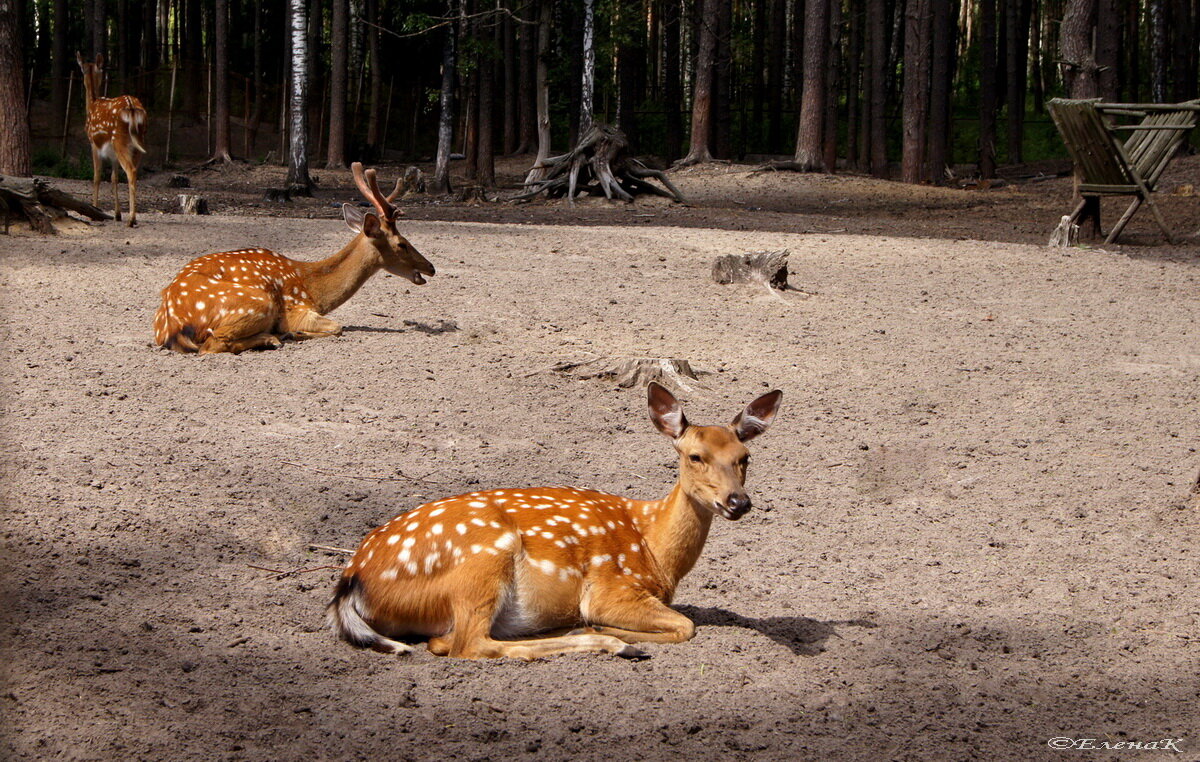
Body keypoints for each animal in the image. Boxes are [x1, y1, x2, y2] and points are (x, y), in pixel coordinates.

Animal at [76, 53, 146, 226]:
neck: (92, 104)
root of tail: (131, 108)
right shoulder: (112, 154)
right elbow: (114, 178)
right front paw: (117, 214)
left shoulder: (93, 143)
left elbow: (96, 176)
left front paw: (93, 210)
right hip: (138, 141)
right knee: (134, 171)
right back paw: (131, 217)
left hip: (119, 140)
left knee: (131, 171)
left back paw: (132, 219)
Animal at [152, 164, 436, 355]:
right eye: (402, 243)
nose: (431, 267)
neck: (313, 288)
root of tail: (173, 326)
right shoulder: (296, 308)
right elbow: (338, 326)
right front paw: (294, 332)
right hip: (256, 302)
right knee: (212, 344)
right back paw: (273, 338)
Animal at [328, 384, 782, 657]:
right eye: (695, 456)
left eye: (744, 457)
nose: (738, 501)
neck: (655, 552)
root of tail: (352, 580)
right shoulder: (611, 589)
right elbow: (687, 626)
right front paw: (615, 635)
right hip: (482, 560)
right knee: (467, 644)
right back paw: (608, 642)